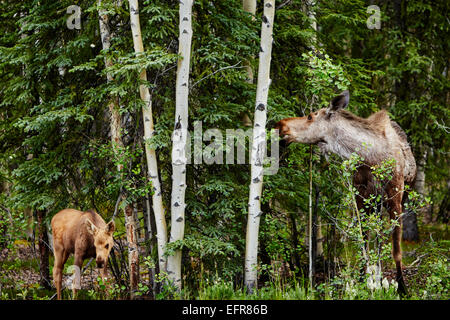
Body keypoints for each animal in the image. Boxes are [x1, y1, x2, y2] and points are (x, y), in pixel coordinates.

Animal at [276, 90, 416, 296]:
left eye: (310, 116)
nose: (280, 125)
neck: (370, 157)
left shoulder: (395, 198)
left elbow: (396, 250)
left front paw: (402, 287)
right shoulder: (361, 197)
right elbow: (363, 242)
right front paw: (364, 281)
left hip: (398, 197)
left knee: (382, 238)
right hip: (375, 204)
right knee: (377, 237)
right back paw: (377, 276)